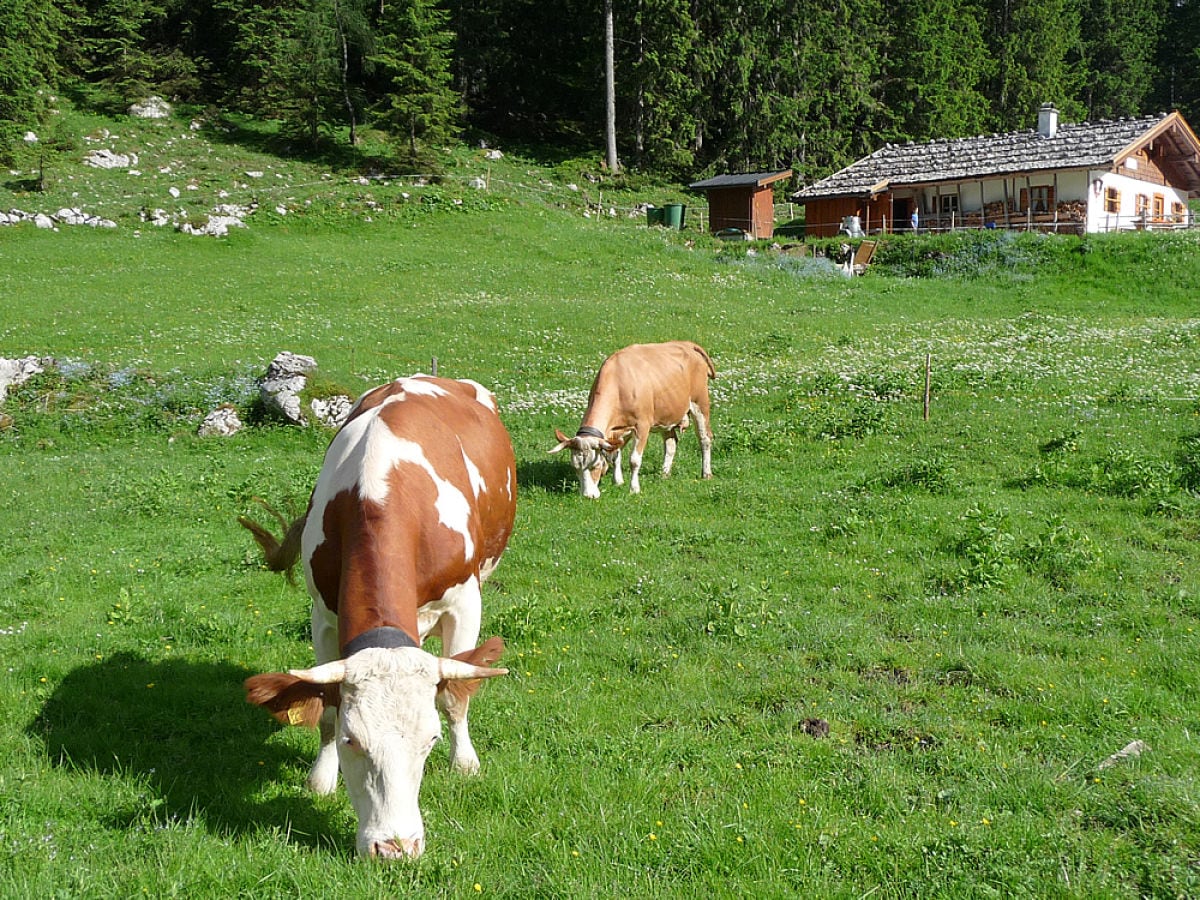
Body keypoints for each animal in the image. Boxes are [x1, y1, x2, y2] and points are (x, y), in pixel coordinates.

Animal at [238, 376, 516, 864]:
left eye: (431, 741)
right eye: (353, 742)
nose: (396, 847)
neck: (381, 490)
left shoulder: (466, 602)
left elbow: (454, 697)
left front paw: (464, 761)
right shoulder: (323, 617)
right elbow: (327, 709)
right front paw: (321, 779)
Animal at [549, 343, 710, 504]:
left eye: (596, 465)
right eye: (575, 467)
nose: (588, 496)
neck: (619, 384)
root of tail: (686, 344)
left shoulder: (642, 426)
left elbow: (634, 460)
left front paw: (634, 489)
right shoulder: (616, 430)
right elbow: (615, 454)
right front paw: (618, 481)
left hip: (700, 403)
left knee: (705, 439)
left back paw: (706, 473)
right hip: (666, 415)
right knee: (671, 443)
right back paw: (664, 473)